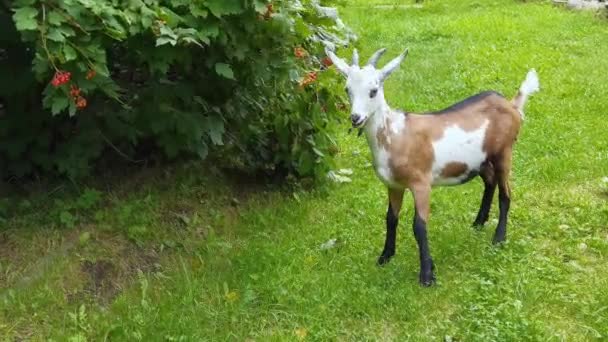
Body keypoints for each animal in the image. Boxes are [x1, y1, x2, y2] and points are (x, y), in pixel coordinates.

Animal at [326, 47, 540, 286]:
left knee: (505, 193)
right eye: (347, 89)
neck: (396, 135)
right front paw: (385, 257)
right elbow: (390, 218)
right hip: (481, 160)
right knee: (490, 181)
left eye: (373, 91)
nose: (356, 118)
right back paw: (478, 222)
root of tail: (512, 105)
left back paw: (499, 238)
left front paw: (427, 275)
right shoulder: (394, 185)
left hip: (504, 152)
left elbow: (419, 226)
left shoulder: (421, 184)